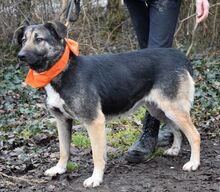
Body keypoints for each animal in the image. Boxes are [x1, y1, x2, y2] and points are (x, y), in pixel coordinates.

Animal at [15, 21, 201, 188]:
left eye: (39, 39)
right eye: (23, 40)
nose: (20, 56)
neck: (62, 70)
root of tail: (178, 55)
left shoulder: (94, 121)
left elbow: (97, 155)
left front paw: (96, 178)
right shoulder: (62, 120)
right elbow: (63, 149)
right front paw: (59, 169)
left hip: (173, 109)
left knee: (194, 135)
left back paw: (194, 163)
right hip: (159, 110)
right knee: (176, 129)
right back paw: (175, 149)